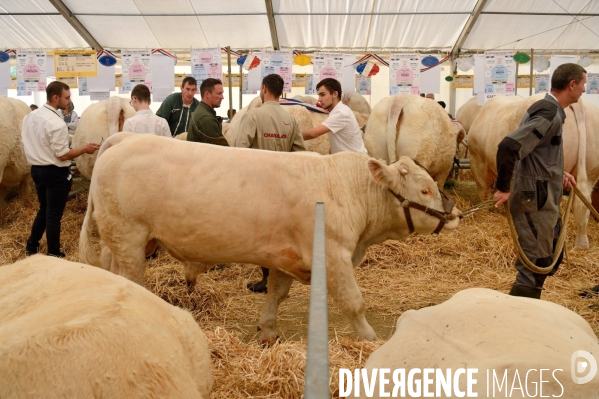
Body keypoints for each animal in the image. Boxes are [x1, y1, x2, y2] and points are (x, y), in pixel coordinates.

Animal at [79, 133, 462, 346]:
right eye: (424, 189)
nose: (456, 214)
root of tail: (125, 138)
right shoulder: (333, 254)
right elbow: (354, 302)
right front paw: (370, 340)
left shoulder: (284, 256)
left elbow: (276, 294)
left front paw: (267, 332)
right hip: (129, 238)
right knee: (130, 281)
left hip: (121, 241)